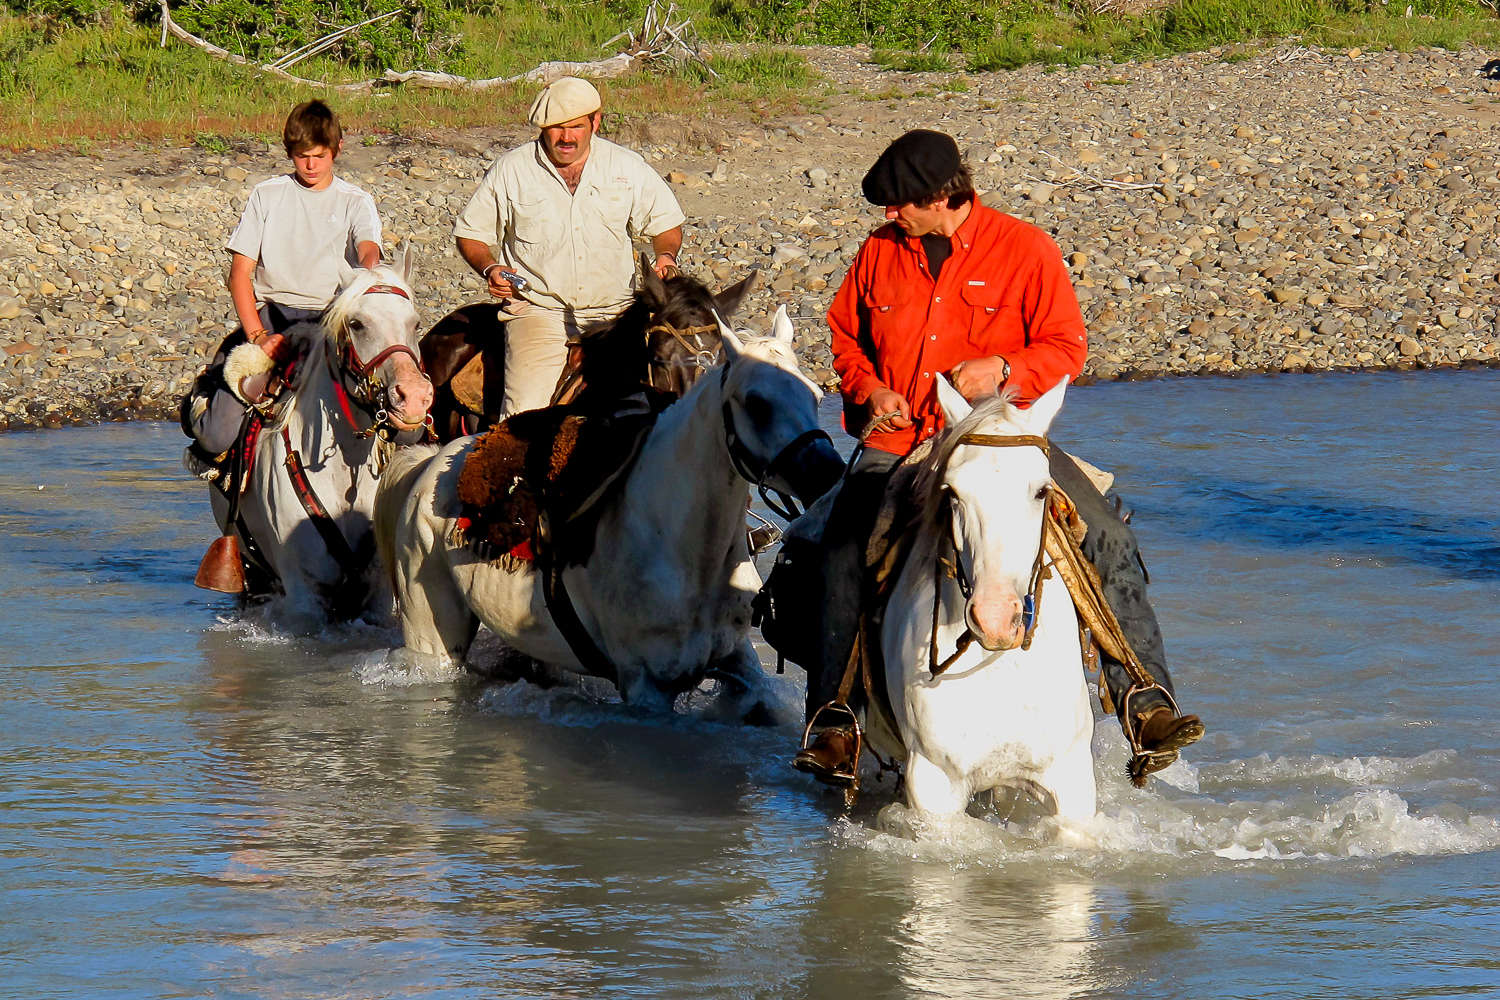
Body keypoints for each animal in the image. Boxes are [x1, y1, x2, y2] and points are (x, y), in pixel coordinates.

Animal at [214, 250, 435, 626]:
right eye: (357, 324)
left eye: (415, 323)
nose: (414, 397)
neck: (346, 466)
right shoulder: (304, 597)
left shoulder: (379, 597)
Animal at [375, 307, 846, 719]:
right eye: (756, 402)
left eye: (815, 394)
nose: (827, 471)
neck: (684, 549)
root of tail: (430, 464)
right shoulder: (646, 689)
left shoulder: (738, 666)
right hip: (432, 636)